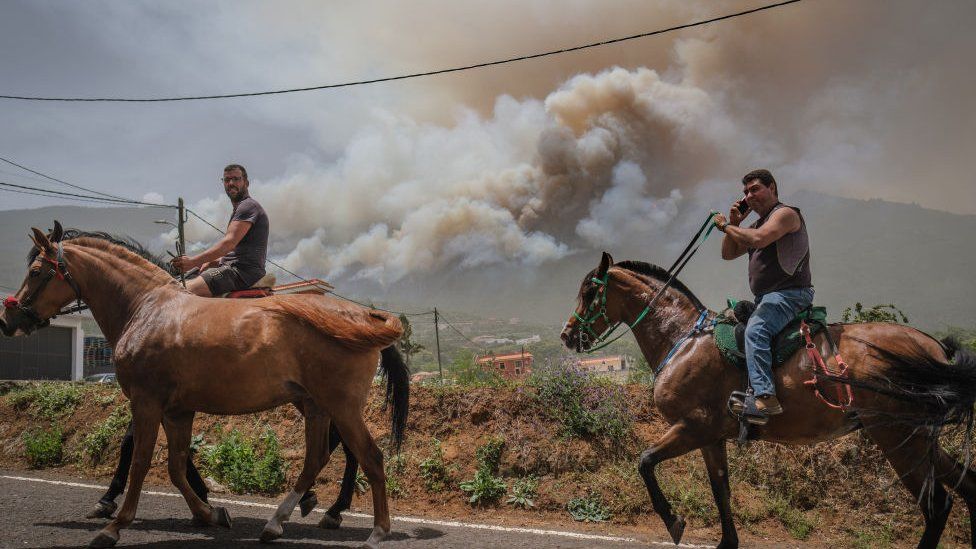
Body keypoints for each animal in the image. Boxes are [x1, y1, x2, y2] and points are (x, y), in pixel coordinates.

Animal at [0, 224, 408, 548]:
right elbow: (176, 466)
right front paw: (209, 512)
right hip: (316, 405)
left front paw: (115, 525)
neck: (147, 307)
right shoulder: (177, 410)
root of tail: (362, 315)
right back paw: (282, 519)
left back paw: (375, 530)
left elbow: (140, 461)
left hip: (340, 405)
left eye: (36, 271)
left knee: (369, 456)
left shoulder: (146, 402)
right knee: (319, 457)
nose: (9, 318)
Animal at [560, 253, 976, 548]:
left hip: (899, 437)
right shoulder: (711, 437)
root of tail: (934, 348)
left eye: (589, 292)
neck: (682, 338)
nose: (567, 335)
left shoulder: (691, 427)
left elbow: (645, 462)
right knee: (967, 488)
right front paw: (727, 543)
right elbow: (721, 491)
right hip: (921, 438)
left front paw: (674, 521)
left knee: (937, 506)